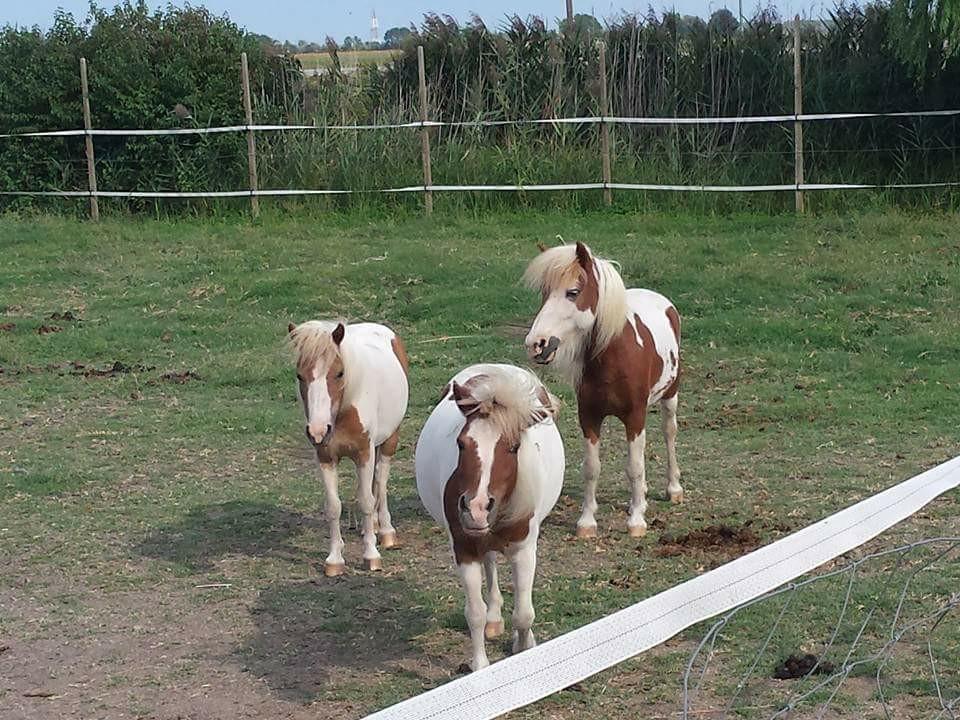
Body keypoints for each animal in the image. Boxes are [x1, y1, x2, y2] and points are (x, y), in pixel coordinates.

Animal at [284, 320, 404, 572]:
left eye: (339, 373)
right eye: (299, 375)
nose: (318, 430)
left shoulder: (364, 454)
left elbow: (366, 501)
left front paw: (371, 556)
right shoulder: (325, 457)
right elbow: (333, 506)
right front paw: (334, 559)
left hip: (389, 441)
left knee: (381, 482)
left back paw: (386, 532)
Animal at [414, 362, 564, 672]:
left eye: (514, 447)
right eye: (461, 443)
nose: (476, 507)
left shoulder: (523, 550)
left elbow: (524, 613)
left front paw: (524, 647)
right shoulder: (465, 549)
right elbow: (475, 613)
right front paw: (481, 668)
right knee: (490, 564)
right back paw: (494, 618)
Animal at [524, 242, 684, 540]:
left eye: (573, 292)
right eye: (544, 293)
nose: (536, 344)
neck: (614, 358)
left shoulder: (634, 417)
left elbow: (634, 467)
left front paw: (636, 521)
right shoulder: (589, 417)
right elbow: (592, 468)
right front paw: (587, 522)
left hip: (670, 396)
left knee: (669, 433)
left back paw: (673, 489)